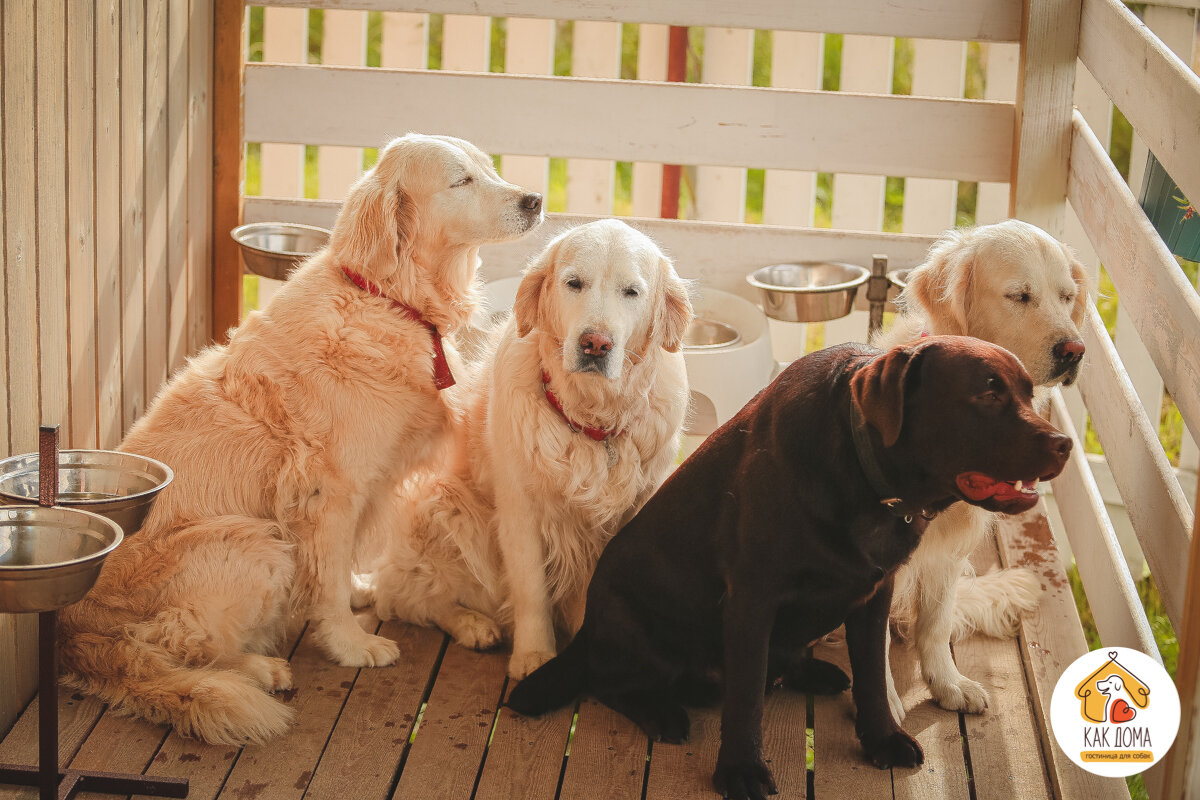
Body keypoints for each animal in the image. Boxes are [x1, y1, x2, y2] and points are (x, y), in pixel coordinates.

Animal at [56, 133, 542, 743]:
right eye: (462, 180)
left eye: (489, 168)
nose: (535, 200)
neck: (387, 298)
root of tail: (75, 634)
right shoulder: (327, 491)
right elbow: (326, 582)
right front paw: (352, 644)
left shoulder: (367, 481)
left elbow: (338, 566)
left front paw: (359, 589)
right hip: (255, 542)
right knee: (168, 644)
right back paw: (259, 668)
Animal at [374, 220, 696, 681]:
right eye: (574, 283)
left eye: (632, 292)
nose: (595, 344)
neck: (591, 419)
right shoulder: (521, 509)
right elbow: (531, 590)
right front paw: (534, 654)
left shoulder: (636, 509)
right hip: (443, 503)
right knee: (407, 596)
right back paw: (473, 625)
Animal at [511, 335, 1075, 796]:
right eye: (987, 394)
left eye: (1029, 394)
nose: (1066, 444)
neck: (867, 479)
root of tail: (591, 628)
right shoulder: (751, 598)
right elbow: (745, 697)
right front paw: (740, 770)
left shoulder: (874, 593)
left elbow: (873, 678)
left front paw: (882, 740)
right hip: (633, 620)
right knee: (612, 681)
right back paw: (663, 711)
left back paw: (811, 670)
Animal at [878, 215, 1094, 714]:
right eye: (1019, 296)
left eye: (1067, 296)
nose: (1075, 350)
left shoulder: (946, 554)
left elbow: (935, 627)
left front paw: (947, 684)